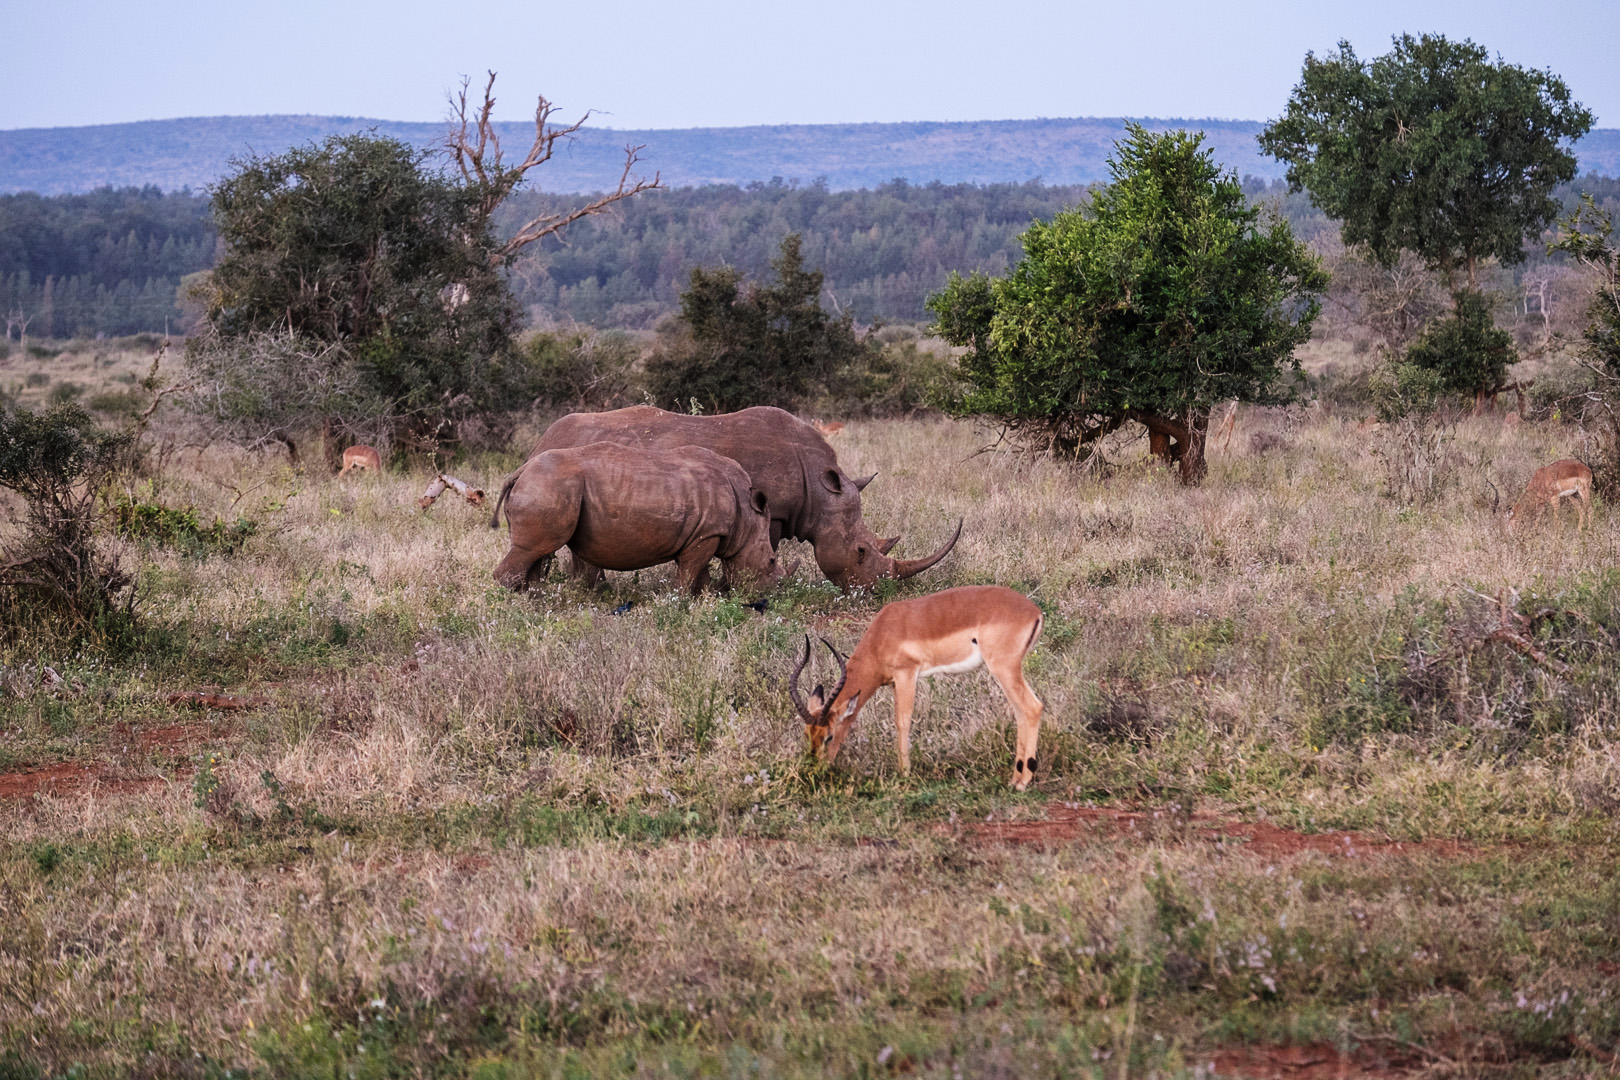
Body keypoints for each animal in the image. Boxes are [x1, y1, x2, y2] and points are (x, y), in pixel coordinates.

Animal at [787, 586, 1043, 790]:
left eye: (828, 736)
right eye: (807, 734)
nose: (812, 770)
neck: (881, 635)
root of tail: (1034, 611)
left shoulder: (906, 675)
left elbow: (903, 722)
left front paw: (905, 774)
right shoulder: (893, 683)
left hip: (1003, 668)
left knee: (1032, 708)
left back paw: (1023, 782)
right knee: (1021, 712)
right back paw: (1015, 778)